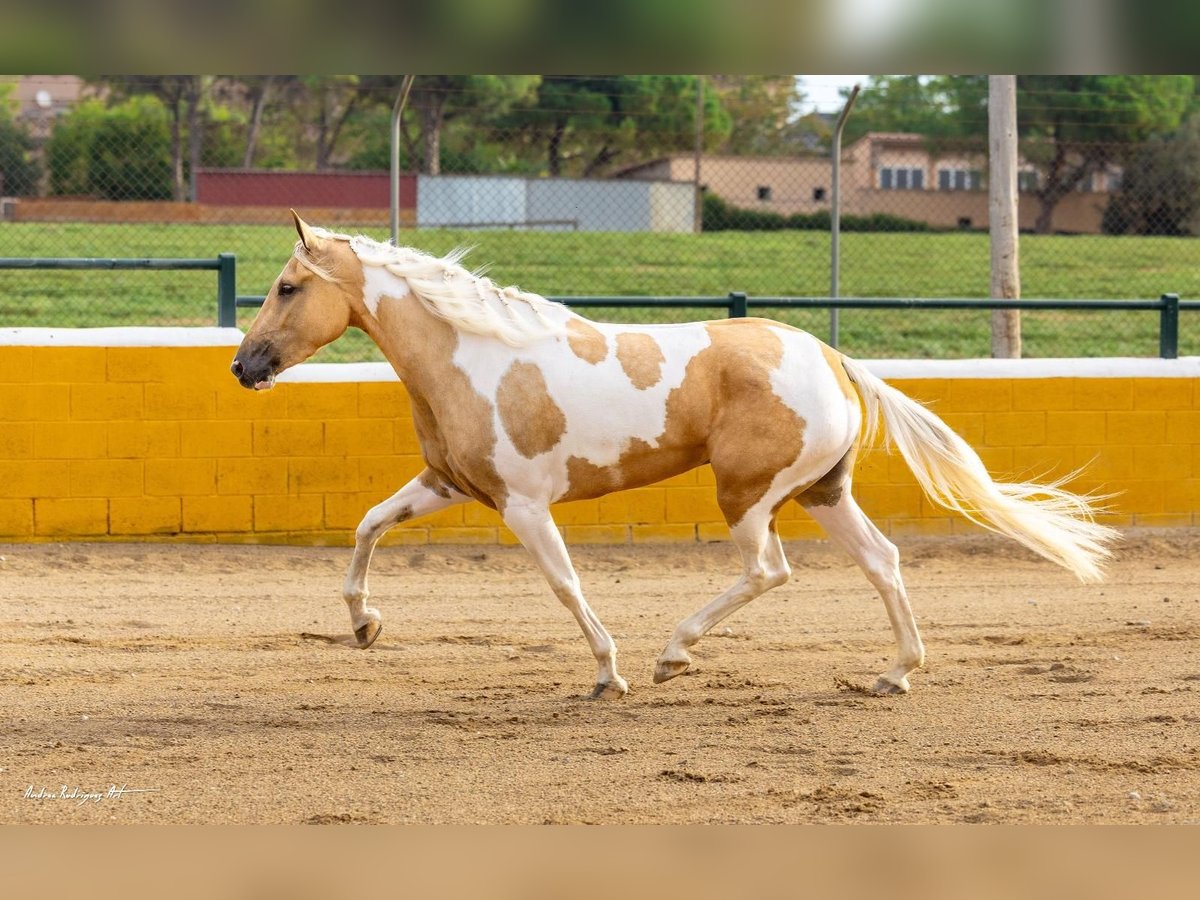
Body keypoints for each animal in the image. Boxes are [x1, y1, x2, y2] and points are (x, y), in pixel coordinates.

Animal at [231, 213, 1113, 705]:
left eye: (285, 287)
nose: (244, 367)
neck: (474, 355)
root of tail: (830, 356)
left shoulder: (523, 505)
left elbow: (565, 585)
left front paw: (607, 674)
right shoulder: (448, 484)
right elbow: (367, 526)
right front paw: (365, 625)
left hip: (749, 495)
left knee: (769, 571)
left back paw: (672, 655)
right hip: (823, 492)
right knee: (883, 562)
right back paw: (895, 673)